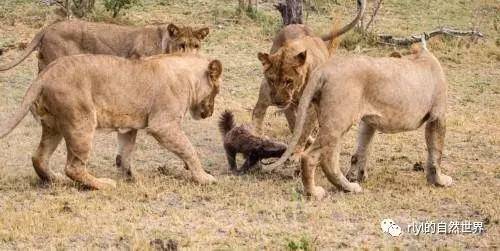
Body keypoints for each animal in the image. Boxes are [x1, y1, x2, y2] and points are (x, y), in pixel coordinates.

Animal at [0, 54, 223, 189]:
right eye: (217, 90)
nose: (211, 112)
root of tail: (46, 72)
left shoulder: (129, 127)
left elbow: (125, 154)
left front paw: (133, 178)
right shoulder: (163, 125)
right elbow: (189, 149)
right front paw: (203, 177)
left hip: (52, 125)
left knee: (38, 157)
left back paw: (56, 179)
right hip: (82, 121)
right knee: (73, 167)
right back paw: (103, 184)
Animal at [254, 0, 368, 157]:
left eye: (288, 81)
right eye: (272, 80)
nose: (278, 101)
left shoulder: (311, 106)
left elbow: (304, 129)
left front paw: (297, 151)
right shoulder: (286, 102)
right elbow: (294, 122)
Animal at [268, 37, 456, 199]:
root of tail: (322, 70)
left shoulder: (368, 121)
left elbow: (362, 150)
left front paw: (358, 175)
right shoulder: (438, 116)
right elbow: (436, 153)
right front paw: (439, 181)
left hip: (334, 121)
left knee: (329, 158)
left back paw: (348, 186)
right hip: (339, 121)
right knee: (312, 157)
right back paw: (314, 192)